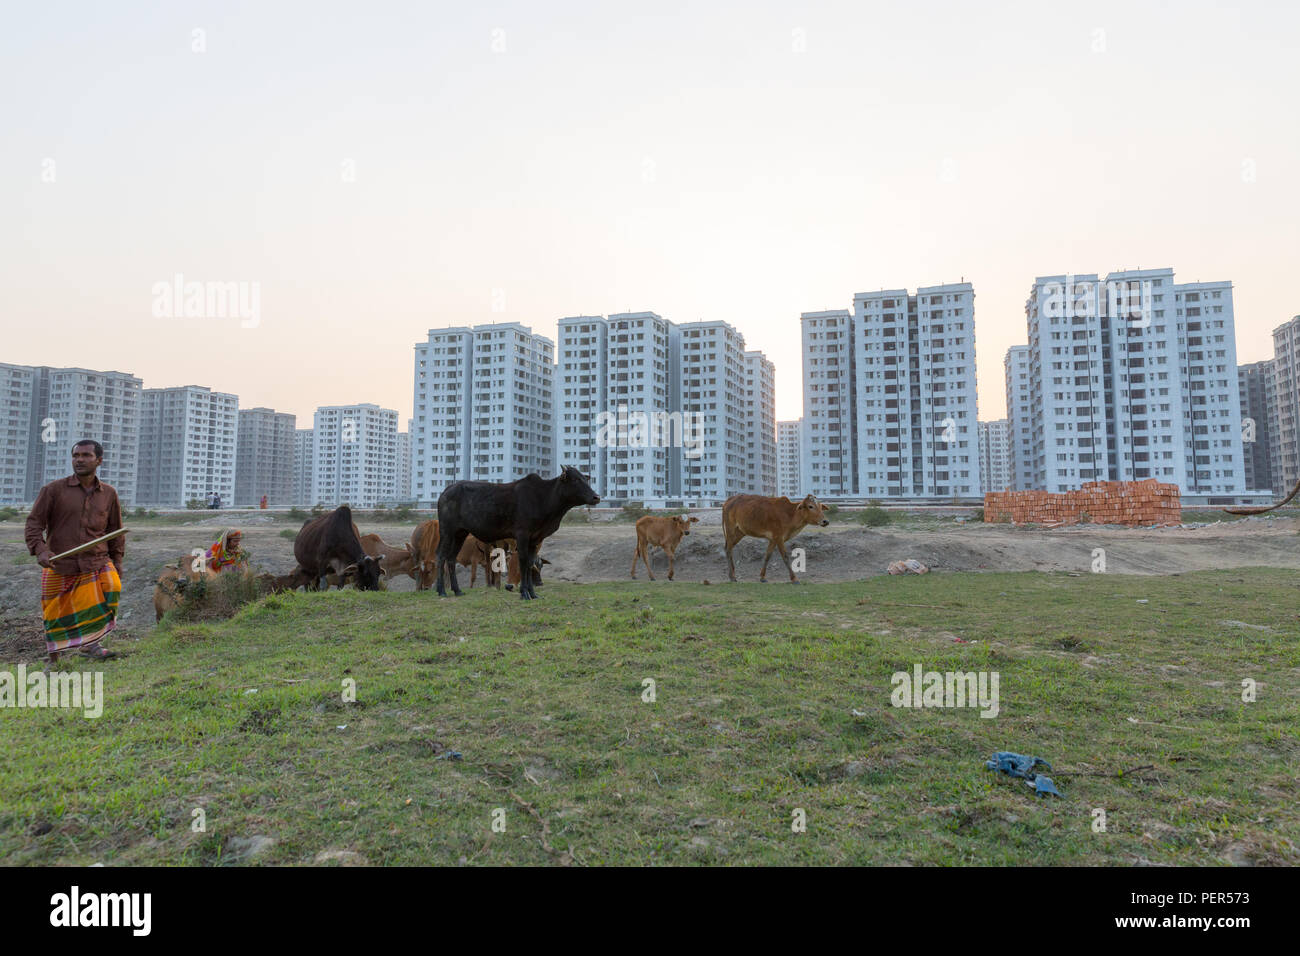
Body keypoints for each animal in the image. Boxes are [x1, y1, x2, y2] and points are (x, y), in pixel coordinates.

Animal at [436, 463, 598, 598]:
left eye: (585, 479)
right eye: (575, 480)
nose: (596, 497)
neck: (543, 498)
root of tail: (446, 491)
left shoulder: (535, 539)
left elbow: (530, 563)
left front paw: (532, 593)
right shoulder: (522, 534)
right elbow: (523, 560)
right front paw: (524, 593)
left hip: (460, 533)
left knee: (451, 558)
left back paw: (457, 590)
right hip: (447, 531)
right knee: (441, 555)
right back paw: (442, 591)